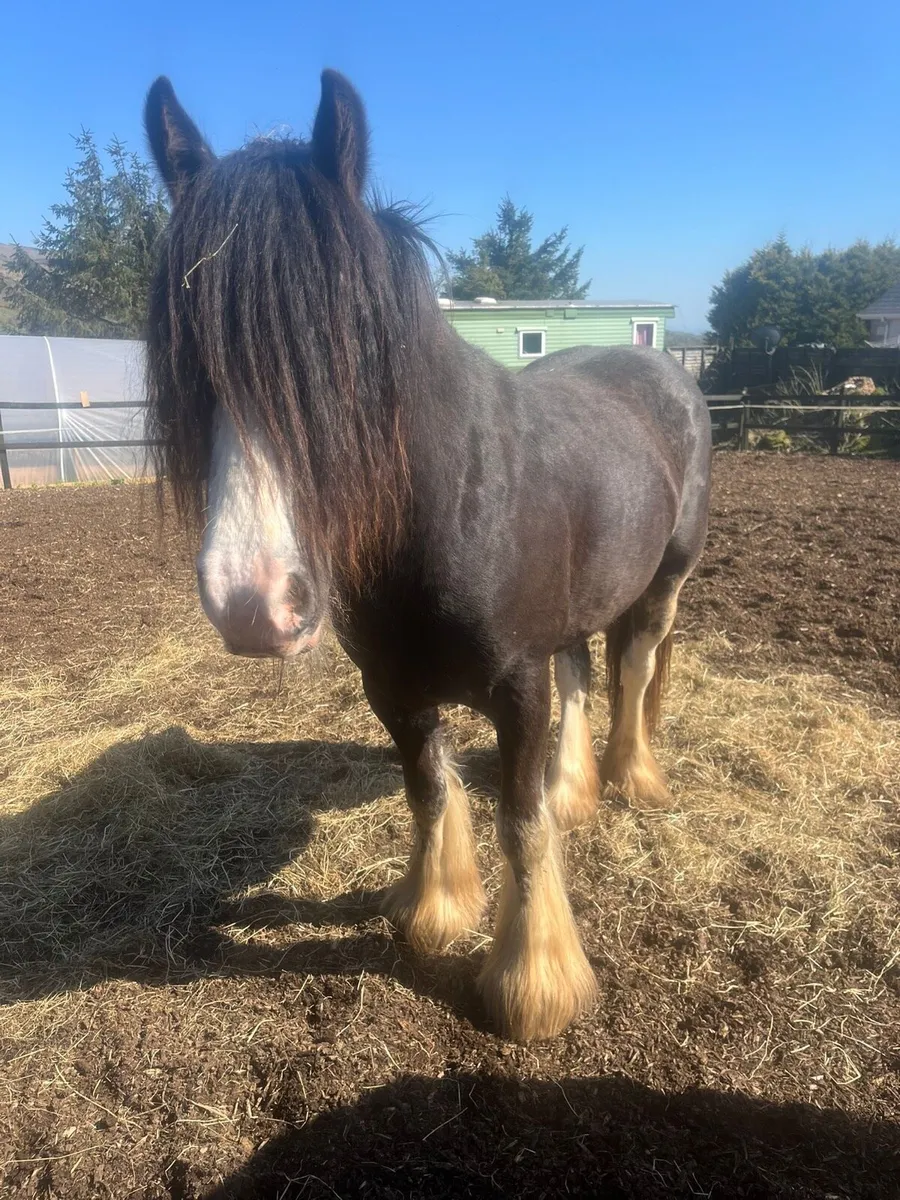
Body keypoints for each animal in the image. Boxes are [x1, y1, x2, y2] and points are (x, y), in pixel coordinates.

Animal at [143, 70, 712, 1042]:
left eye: (343, 344)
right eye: (191, 356)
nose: (255, 604)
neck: (448, 512)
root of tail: (667, 371)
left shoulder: (514, 689)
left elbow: (519, 822)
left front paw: (534, 985)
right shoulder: (394, 688)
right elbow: (430, 788)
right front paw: (435, 911)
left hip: (664, 582)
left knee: (634, 671)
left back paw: (632, 779)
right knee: (581, 674)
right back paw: (578, 788)